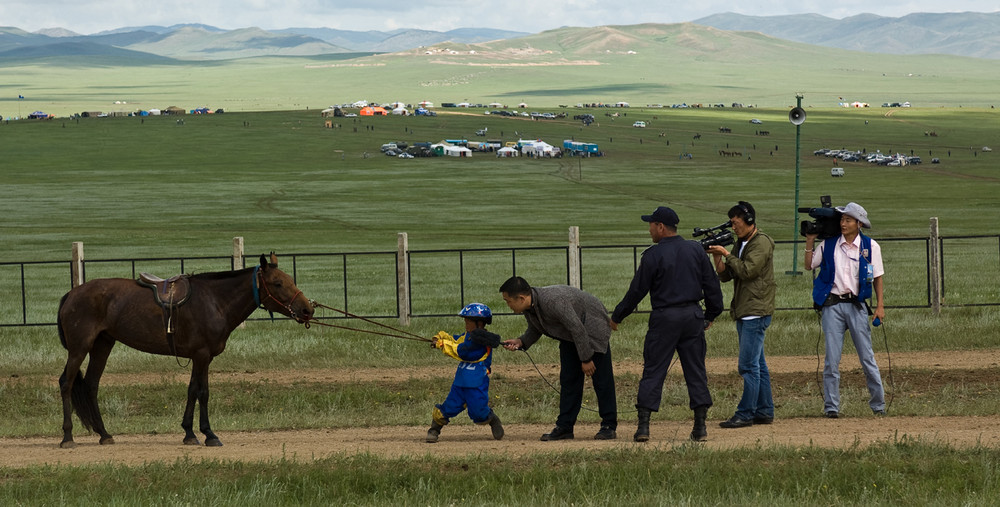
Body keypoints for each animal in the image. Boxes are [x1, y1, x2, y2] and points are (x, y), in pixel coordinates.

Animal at [56, 254, 312, 448]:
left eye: (290, 280)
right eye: (278, 283)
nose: (307, 310)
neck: (214, 301)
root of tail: (72, 293)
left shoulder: (201, 357)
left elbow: (192, 390)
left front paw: (189, 433)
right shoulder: (202, 356)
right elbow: (203, 392)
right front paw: (209, 434)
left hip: (102, 345)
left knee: (91, 385)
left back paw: (104, 434)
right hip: (80, 348)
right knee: (67, 383)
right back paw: (67, 437)